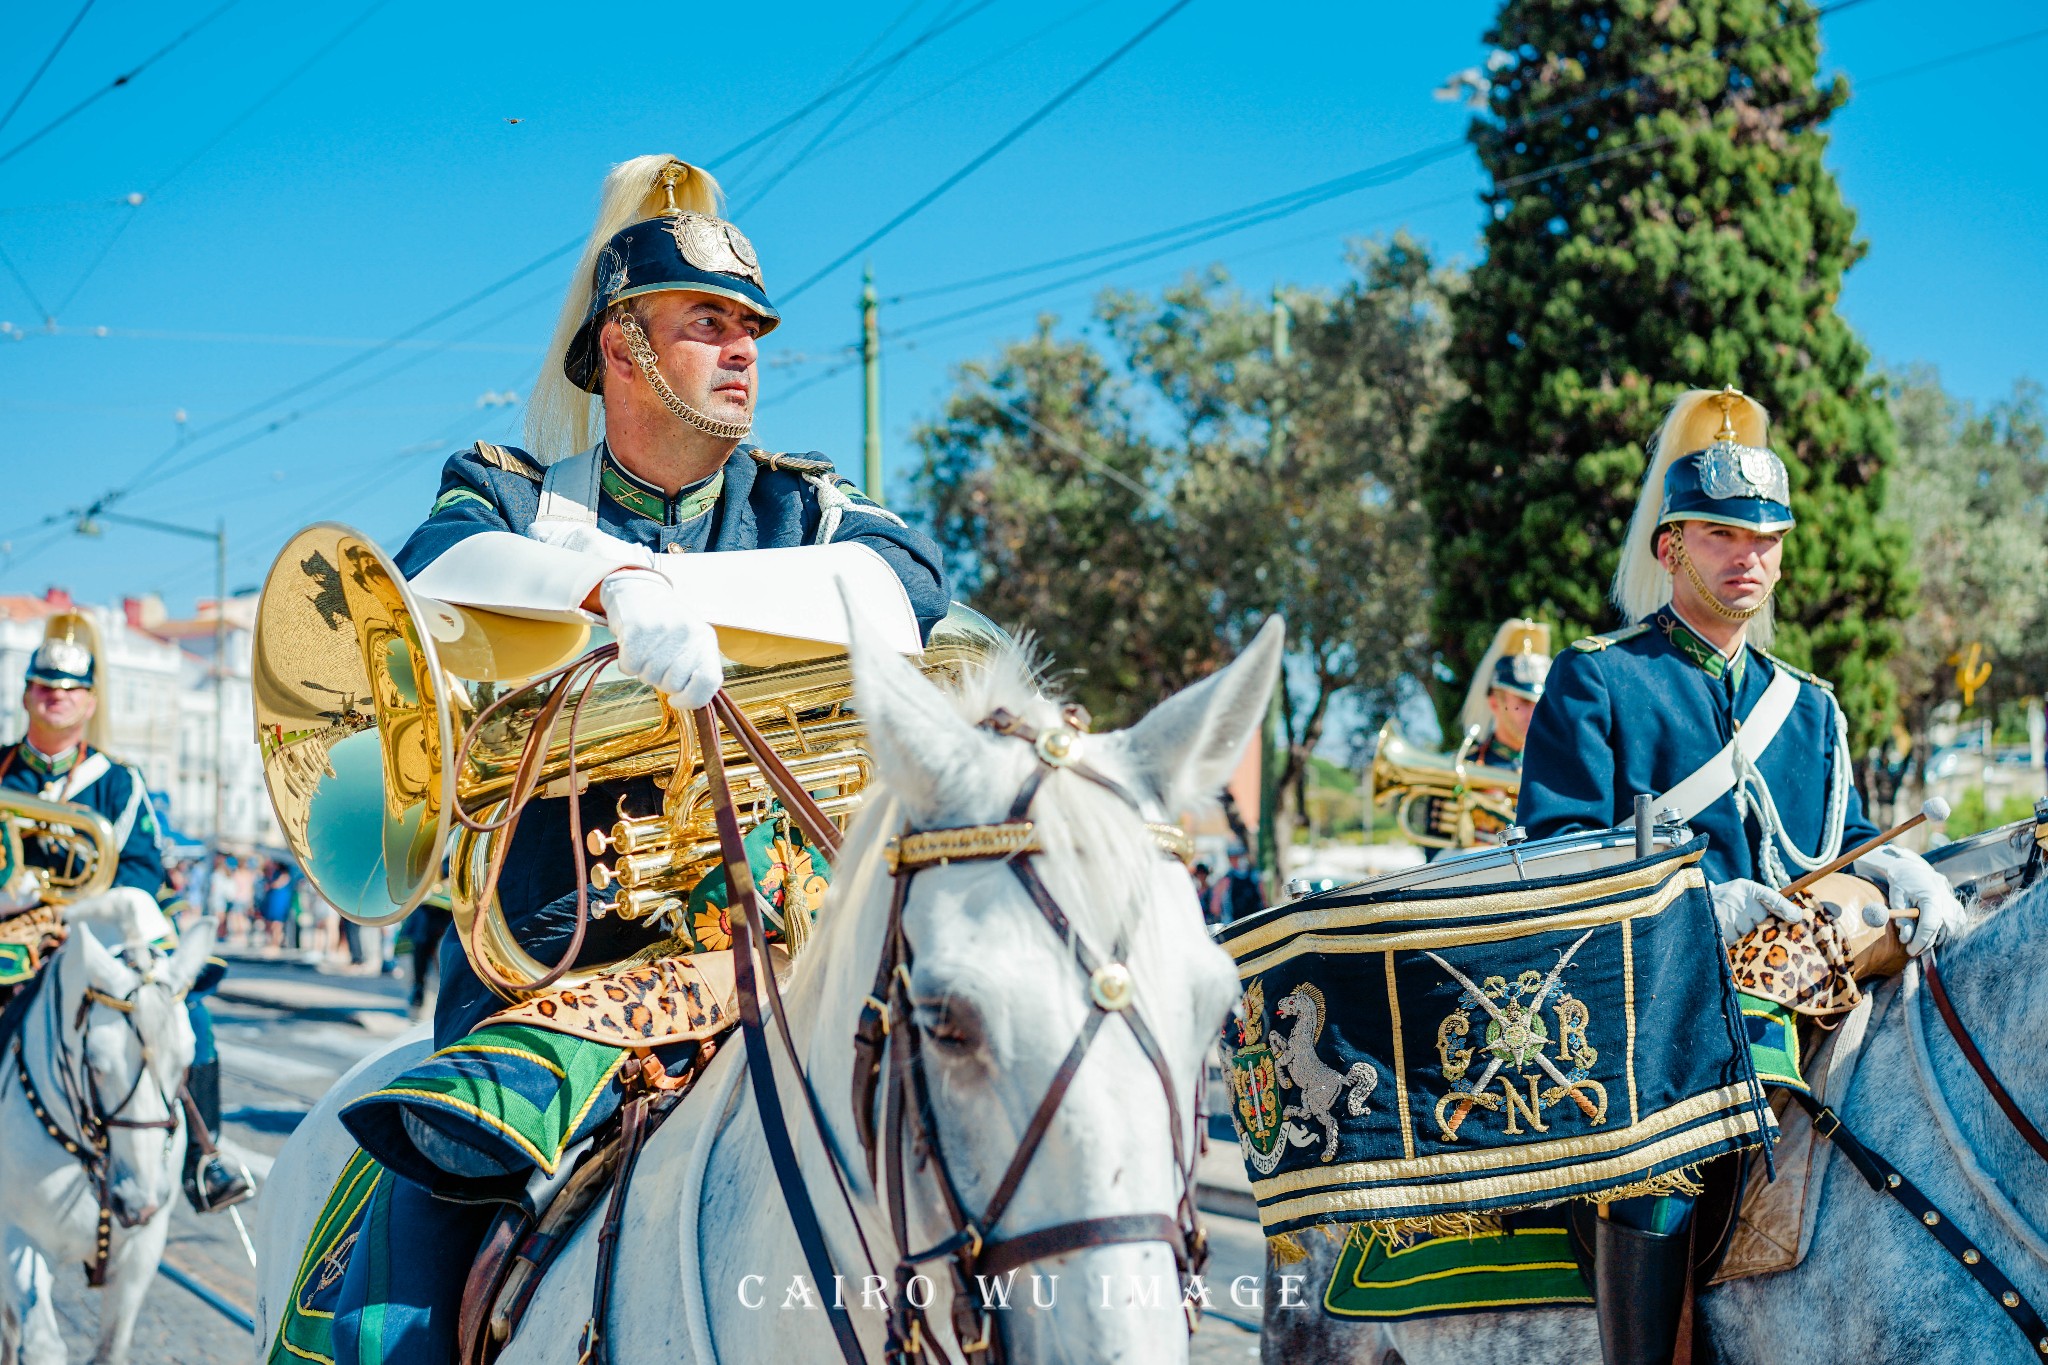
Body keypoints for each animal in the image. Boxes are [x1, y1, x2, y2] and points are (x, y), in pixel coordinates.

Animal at [0, 896, 216, 1365]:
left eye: (187, 1060)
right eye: (96, 1063)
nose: (137, 1203)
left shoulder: (140, 1257)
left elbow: (111, 1347)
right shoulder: (16, 1241)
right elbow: (42, 1344)